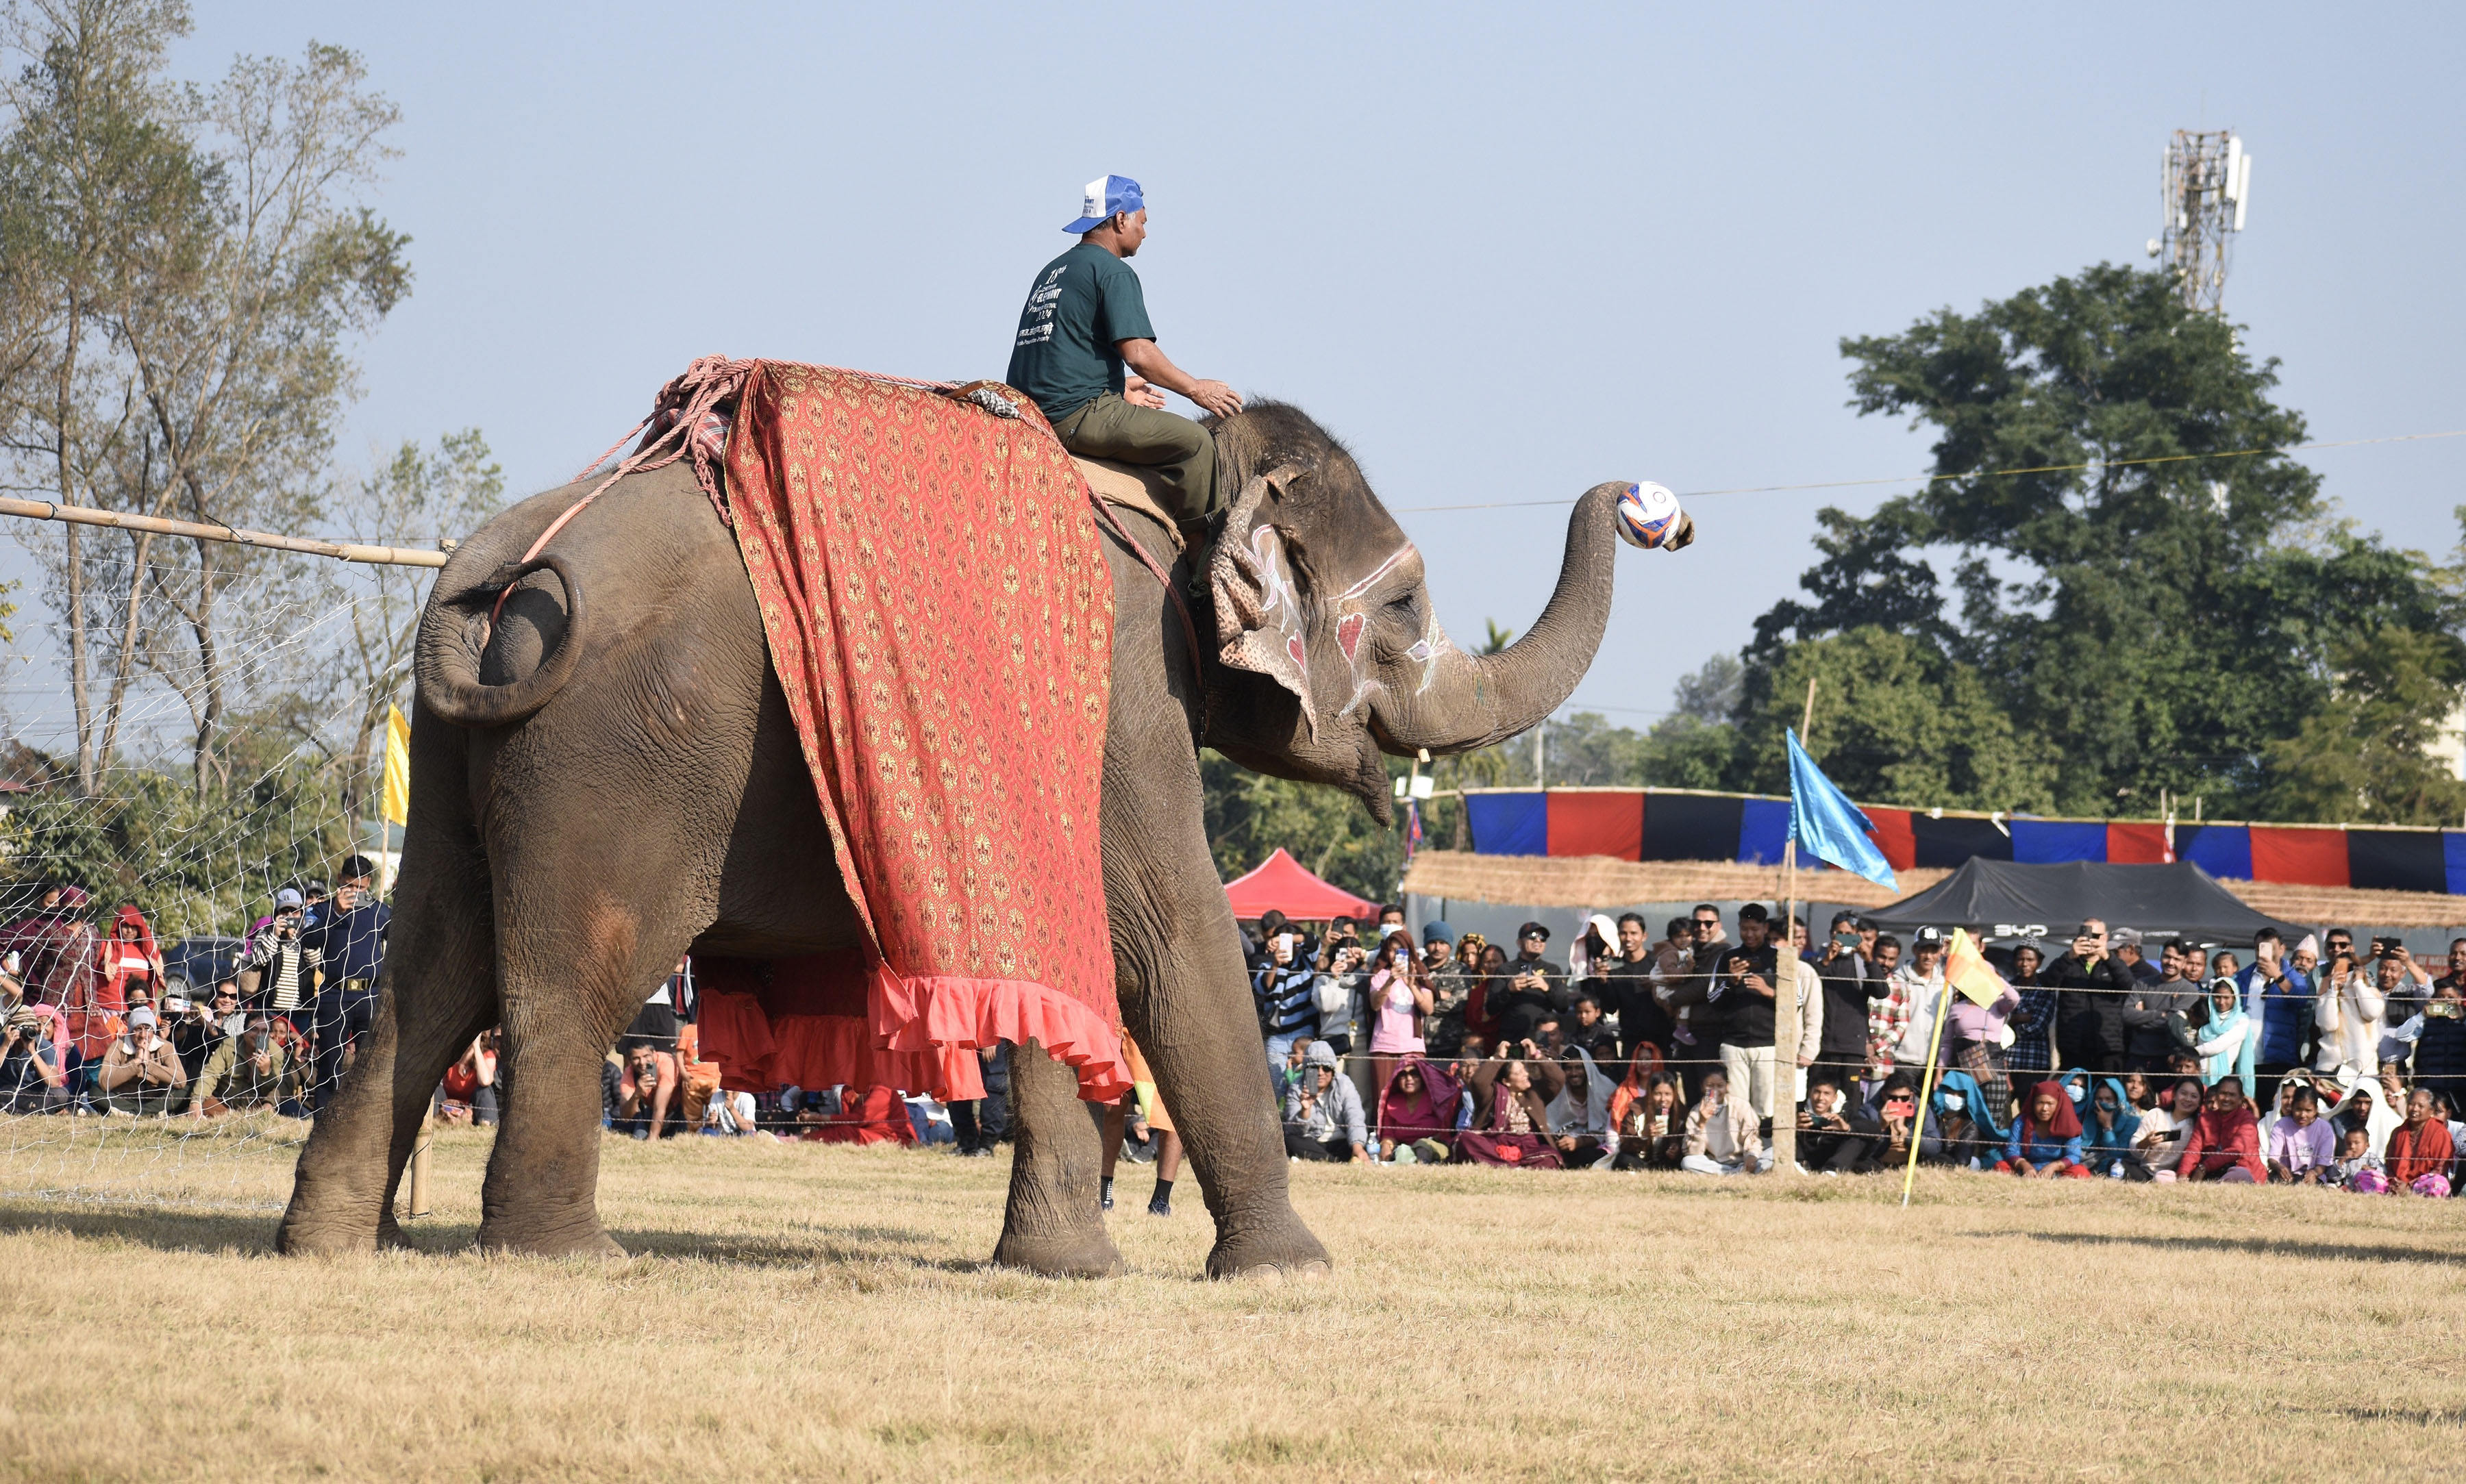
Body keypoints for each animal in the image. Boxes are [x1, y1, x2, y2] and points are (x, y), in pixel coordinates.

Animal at [275, 401, 1657, 1272]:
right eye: (1410, 601)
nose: (1646, 504)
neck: (1182, 493)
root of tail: (499, 569)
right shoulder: (1121, 690)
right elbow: (1167, 925)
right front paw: (1292, 1272)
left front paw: (1066, 1263)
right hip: (618, 753)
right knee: (570, 976)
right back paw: (564, 1253)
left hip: (466, 756)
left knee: (434, 964)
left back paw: (334, 1243)